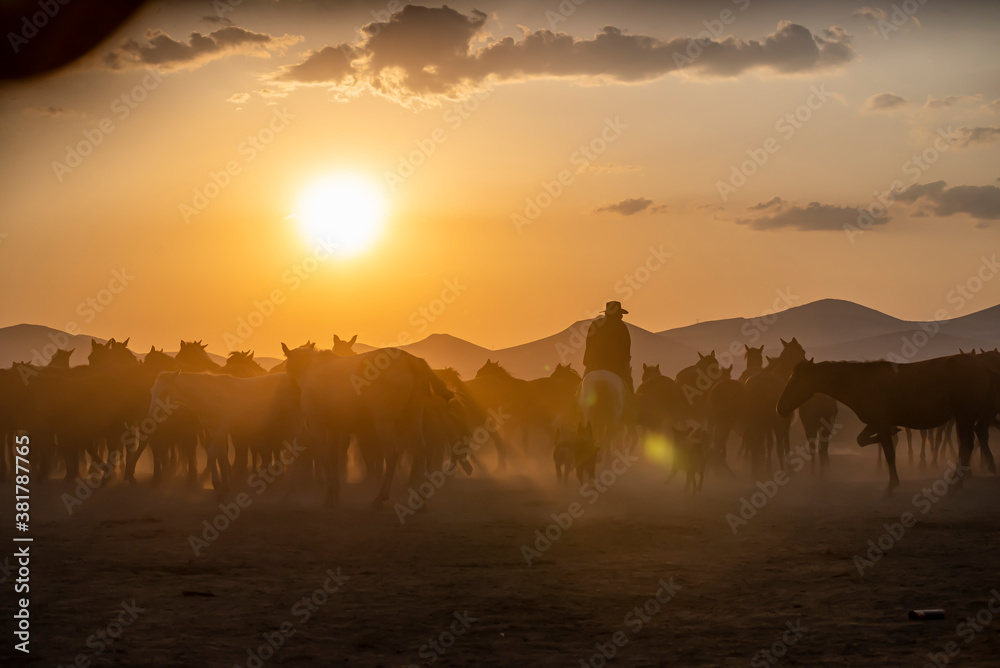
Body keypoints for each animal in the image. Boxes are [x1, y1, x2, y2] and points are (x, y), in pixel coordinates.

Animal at [780, 358, 1000, 494]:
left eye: (797, 381)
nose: (779, 407)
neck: (860, 383)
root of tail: (985, 369)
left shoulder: (881, 422)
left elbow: (888, 452)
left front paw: (891, 485)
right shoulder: (875, 422)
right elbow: (862, 440)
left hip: (964, 417)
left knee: (967, 445)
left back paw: (957, 483)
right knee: (972, 441)